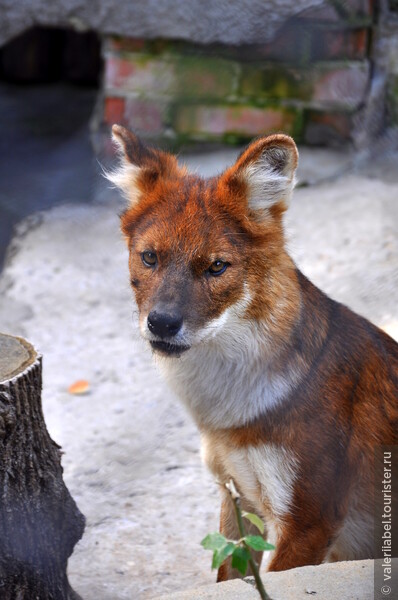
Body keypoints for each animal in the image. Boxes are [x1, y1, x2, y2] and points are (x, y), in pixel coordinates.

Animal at [107, 124, 396, 580]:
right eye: (149, 258)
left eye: (216, 267)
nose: (162, 323)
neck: (227, 413)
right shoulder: (236, 496)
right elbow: (230, 576)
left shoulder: (309, 522)